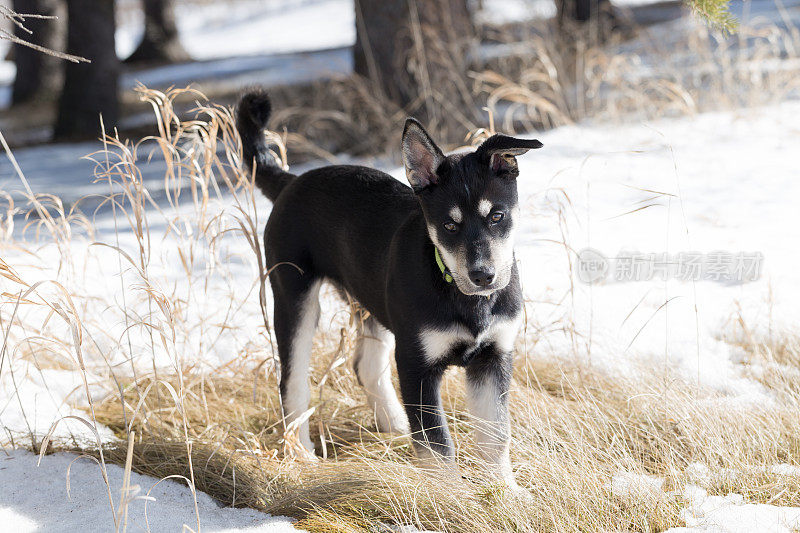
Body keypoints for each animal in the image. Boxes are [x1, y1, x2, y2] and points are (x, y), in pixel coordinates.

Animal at [234, 90, 540, 486]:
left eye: (497, 216)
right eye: (449, 226)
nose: (483, 276)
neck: (461, 294)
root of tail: (290, 182)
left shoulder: (494, 356)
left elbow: (495, 435)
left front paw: (505, 491)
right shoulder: (416, 365)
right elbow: (436, 445)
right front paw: (451, 494)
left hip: (370, 301)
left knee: (365, 366)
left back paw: (395, 426)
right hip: (294, 295)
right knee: (293, 381)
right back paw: (301, 454)